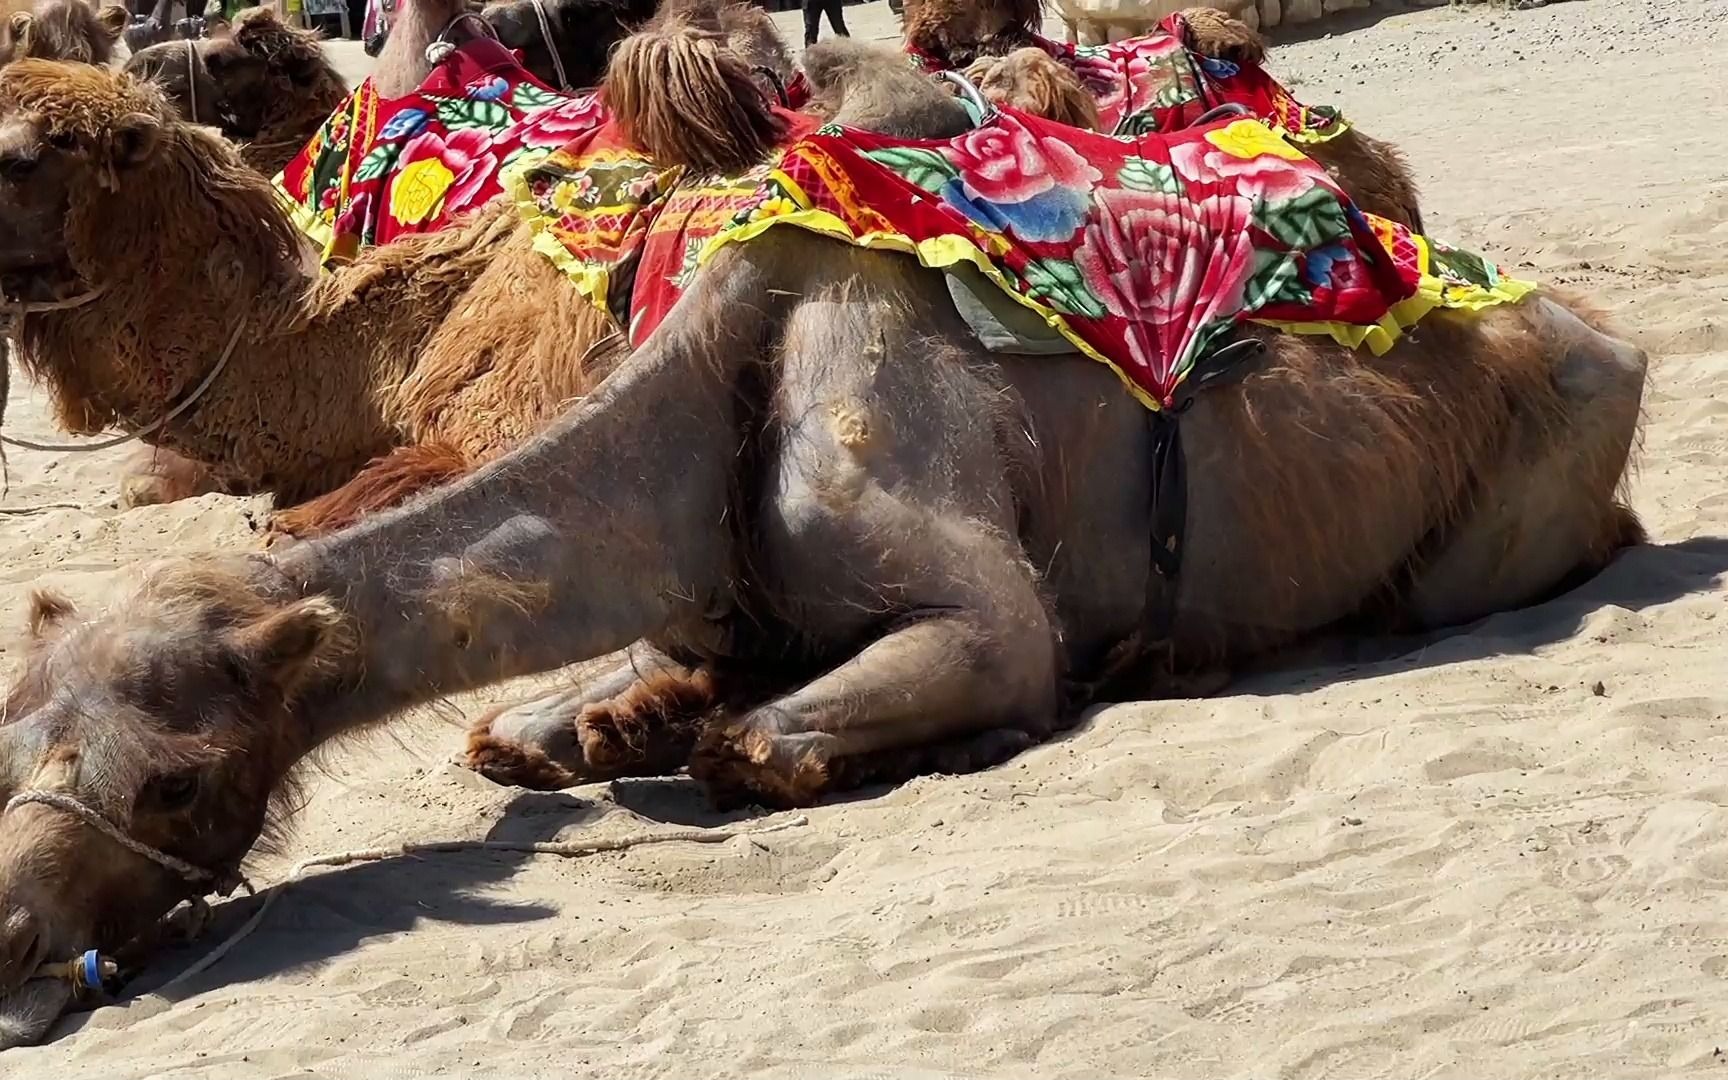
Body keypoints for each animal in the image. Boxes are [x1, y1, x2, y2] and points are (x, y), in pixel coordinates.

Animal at [0, 16, 1645, 1036]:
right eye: (11, 749)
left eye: (173, 782)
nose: (14, 936)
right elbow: (524, 728)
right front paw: (620, 716)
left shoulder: (972, 599)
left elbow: (791, 728)